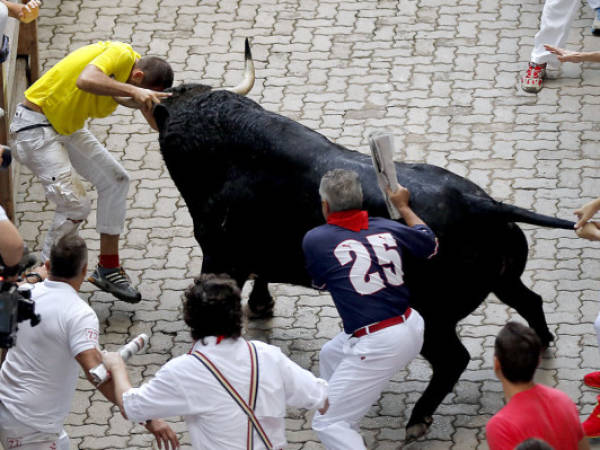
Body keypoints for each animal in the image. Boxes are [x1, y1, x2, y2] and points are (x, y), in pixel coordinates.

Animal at [152, 86, 576, 442]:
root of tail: (482, 202)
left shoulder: (221, 255)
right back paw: (541, 344)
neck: (228, 152)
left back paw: (417, 419)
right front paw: (261, 304)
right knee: (529, 300)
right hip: (503, 279)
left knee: (453, 358)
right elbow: (263, 275)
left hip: (433, 316)